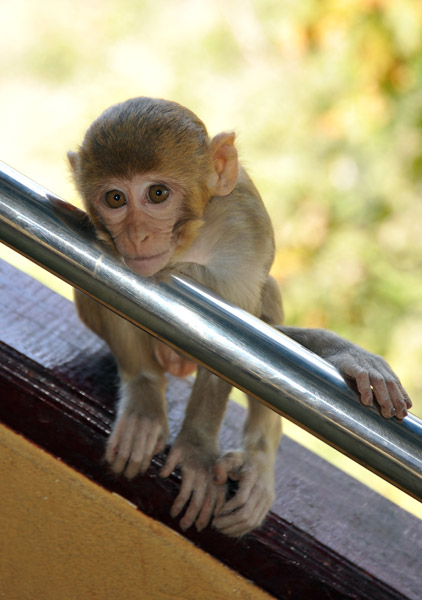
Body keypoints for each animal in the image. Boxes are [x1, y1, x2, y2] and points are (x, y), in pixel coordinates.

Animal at [68, 98, 408, 540]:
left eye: (157, 194)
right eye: (114, 198)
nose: (138, 235)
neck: (189, 240)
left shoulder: (244, 229)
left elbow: (231, 342)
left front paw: (196, 449)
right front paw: (144, 399)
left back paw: (258, 459)